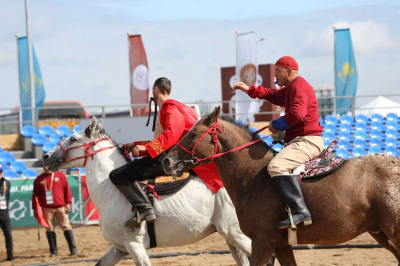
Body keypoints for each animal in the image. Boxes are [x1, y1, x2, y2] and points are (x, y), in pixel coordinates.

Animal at [42, 117, 252, 264]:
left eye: (72, 138)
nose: (45, 156)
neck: (112, 192)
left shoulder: (135, 246)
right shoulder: (120, 248)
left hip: (236, 233)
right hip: (231, 238)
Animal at [162, 106, 400, 266]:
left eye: (192, 134)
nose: (167, 161)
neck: (253, 177)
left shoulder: (263, 242)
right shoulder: (281, 246)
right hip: (379, 232)